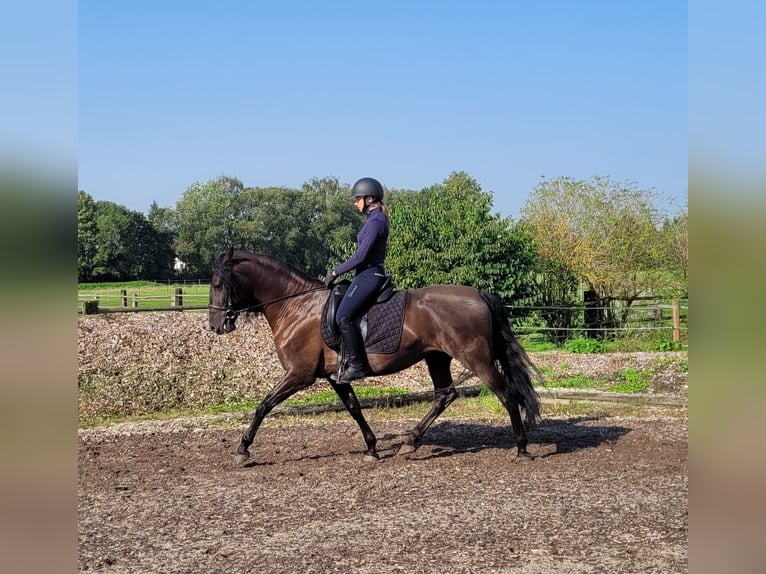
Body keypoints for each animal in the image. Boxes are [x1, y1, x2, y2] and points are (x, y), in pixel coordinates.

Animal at [210, 250, 544, 466]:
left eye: (218, 284)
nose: (215, 326)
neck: (297, 306)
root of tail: (478, 294)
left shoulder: (300, 374)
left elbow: (264, 405)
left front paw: (242, 449)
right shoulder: (335, 376)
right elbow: (354, 409)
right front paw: (372, 447)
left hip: (477, 358)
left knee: (506, 394)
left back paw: (521, 447)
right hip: (437, 357)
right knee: (445, 395)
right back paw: (410, 441)